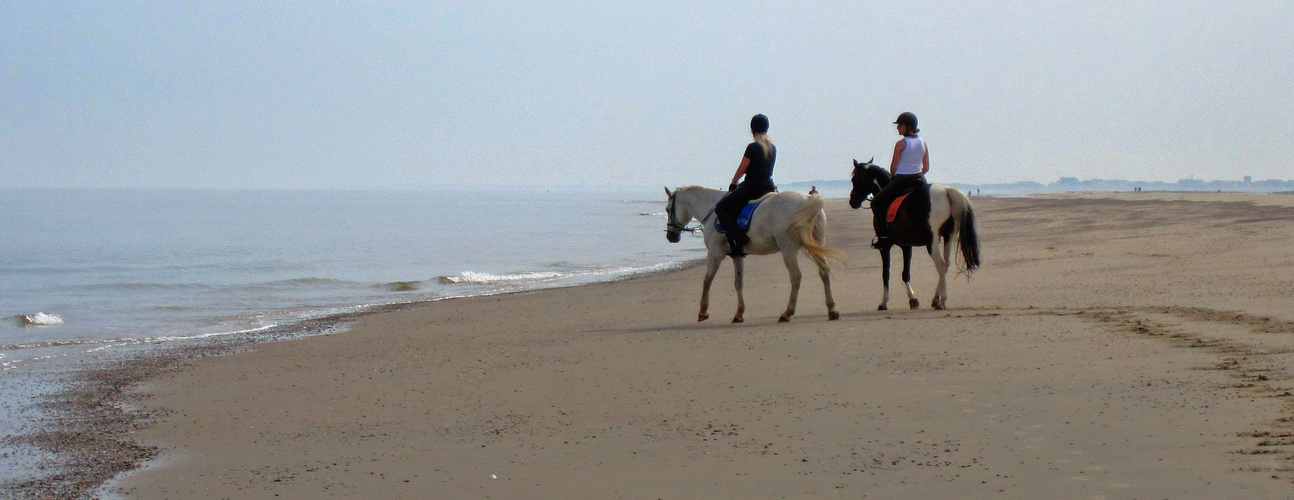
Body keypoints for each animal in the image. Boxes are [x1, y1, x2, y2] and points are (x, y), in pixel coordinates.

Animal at [662, 185, 843, 322]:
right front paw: (739, 314)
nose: (670, 236)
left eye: (667, 209)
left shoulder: (715, 253)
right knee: (824, 271)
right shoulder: (737, 255)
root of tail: (808, 199)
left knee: (796, 276)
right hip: (817, 243)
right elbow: (738, 283)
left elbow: (707, 280)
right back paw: (831, 309)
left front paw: (703, 311)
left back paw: (787, 313)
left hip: (788, 249)